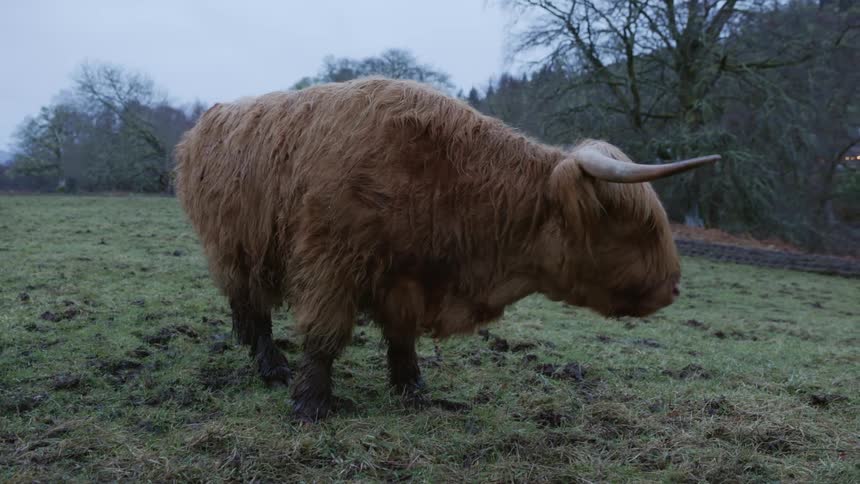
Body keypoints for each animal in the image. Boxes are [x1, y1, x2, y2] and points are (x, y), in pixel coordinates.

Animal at [174, 77, 718, 421]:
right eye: (636, 226)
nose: (674, 286)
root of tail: (212, 117)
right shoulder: (331, 263)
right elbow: (324, 338)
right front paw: (311, 404)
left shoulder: (404, 277)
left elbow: (402, 338)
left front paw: (413, 390)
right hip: (234, 248)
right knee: (252, 305)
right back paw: (269, 364)